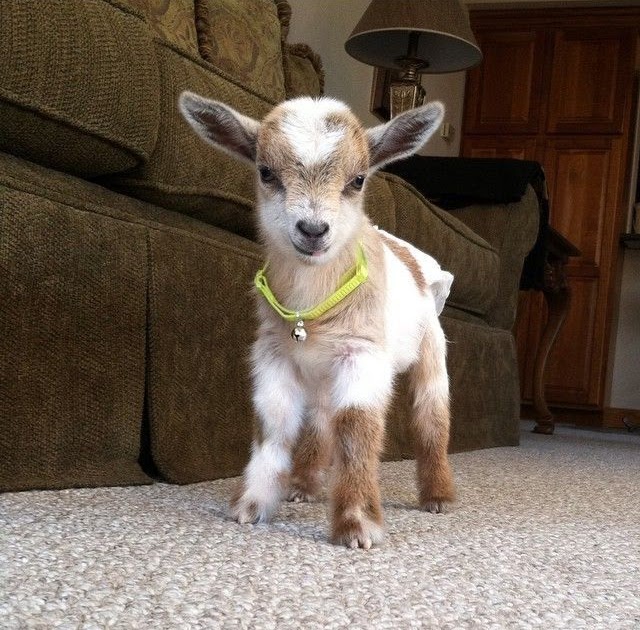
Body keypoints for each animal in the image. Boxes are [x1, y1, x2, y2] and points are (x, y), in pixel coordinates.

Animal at [179, 93, 455, 549]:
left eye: (358, 179)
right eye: (266, 171)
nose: (313, 229)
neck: (310, 308)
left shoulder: (362, 354)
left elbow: (358, 429)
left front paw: (358, 526)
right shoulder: (273, 354)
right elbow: (274, 421)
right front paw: (251, 504)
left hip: (431, 350)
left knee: (430, 419)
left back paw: (438, 497)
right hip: (323, 374)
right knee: (321, 421)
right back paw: (303, 485)